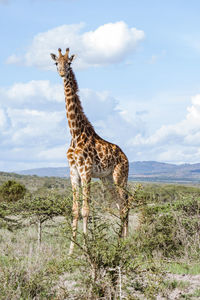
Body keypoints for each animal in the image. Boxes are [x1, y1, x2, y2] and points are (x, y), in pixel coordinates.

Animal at [50, 48, 130, 254]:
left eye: (69, 63)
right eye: (56, 63)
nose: (62, 72)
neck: (75, 132)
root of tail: (126, 157)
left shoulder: (85, 170)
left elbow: (86, 210)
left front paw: (87, 248)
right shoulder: (73, 172)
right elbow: (75, 210)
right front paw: (71, 251)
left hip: (120, 177)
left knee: (125, 205)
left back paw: (128, 242)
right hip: (106, 179)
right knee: (120, 206)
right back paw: (120, 242)